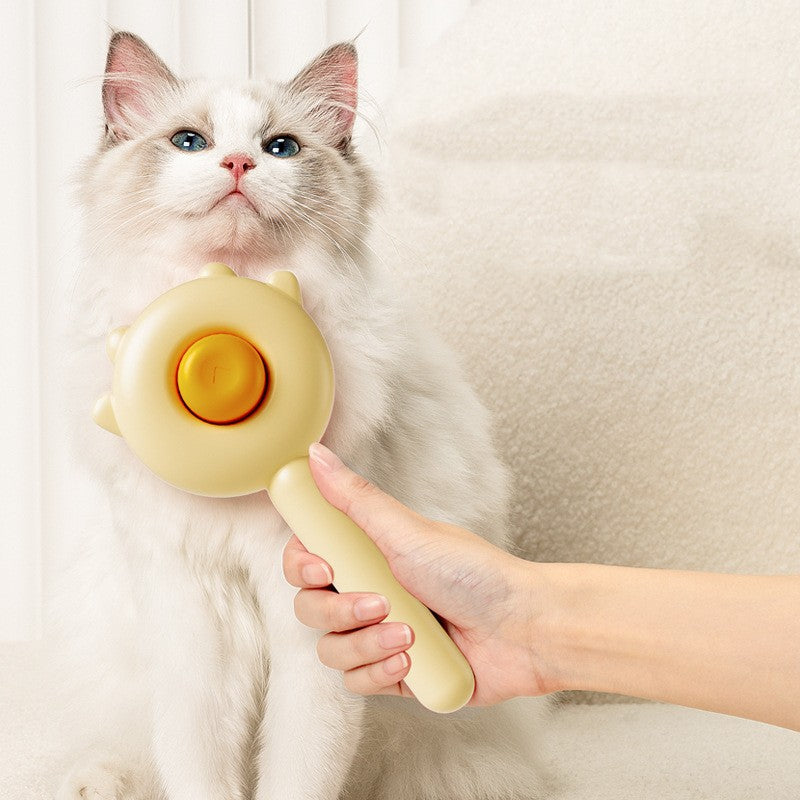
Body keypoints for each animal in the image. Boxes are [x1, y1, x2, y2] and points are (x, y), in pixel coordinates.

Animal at [51, 29, 552, 800]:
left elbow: (299, 765)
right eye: (190, 142)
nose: (237, 163)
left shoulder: (314, 629)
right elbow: (197, 759)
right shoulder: (191, 615)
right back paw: (95, 780)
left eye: (280, 148)